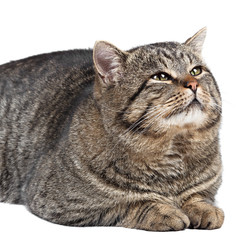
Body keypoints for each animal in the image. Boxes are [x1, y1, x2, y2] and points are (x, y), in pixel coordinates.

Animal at [0, 27, 224, 231]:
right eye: (161, 76)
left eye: (196, 71)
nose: (193, 84)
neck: (174, 148)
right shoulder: (61, 202)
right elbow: (128, 204)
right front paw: (162, 210)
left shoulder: (208, 188)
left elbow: (198, 196)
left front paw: (203, 208)